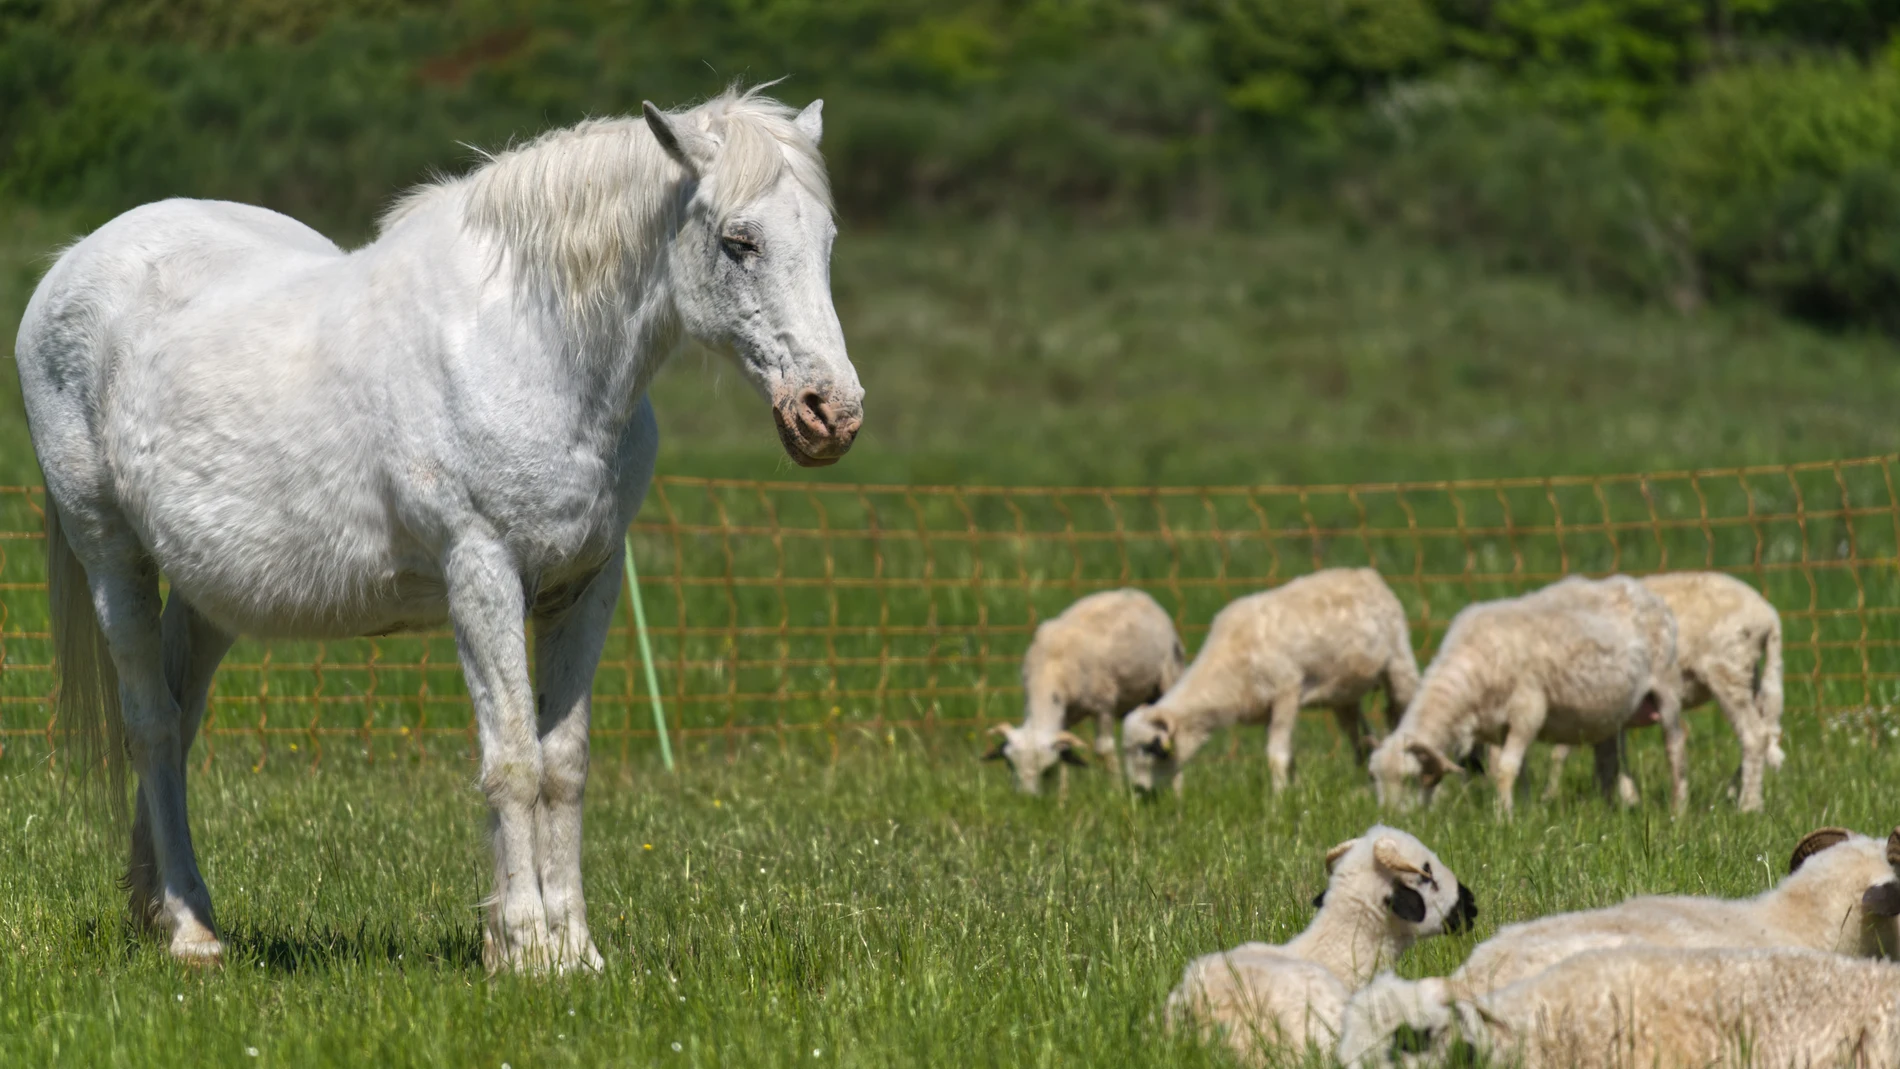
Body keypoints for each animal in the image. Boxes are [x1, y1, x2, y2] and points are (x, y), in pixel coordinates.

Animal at [13, 86, 862, 973]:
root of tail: (70, 266)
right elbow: (514, 760)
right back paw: (187, 932)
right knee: (150, 724)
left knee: (180, 721)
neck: (533, 348)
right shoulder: (481, 571)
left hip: (212, 591)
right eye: (739, 241)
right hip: (112, 555)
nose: (830, 414)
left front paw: (576, 952)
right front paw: (525, 949)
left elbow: (564, 764)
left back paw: (167, 904)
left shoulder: (586, 586)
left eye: (825, 240)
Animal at [982, 589, 1185, 795]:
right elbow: (1065, 753)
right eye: (1009, 765)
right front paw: (1062, 799)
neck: (1051, 669)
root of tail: (1135, 593)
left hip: (1170, 675)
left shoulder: (1104, 705)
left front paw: (1117, 794)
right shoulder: (1063, 717)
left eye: (1046, 770)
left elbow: (1104, 750)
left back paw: (1177, 793)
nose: (1026, 799)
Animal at [1120, 568, 1419, 796]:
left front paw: (1277, 803)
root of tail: (1366, 575)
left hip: (1399, 662)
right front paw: (1295, 793)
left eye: (1151, 748)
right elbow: (1289, 757)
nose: (1140, 792)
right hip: (1343, 693)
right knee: (1362, 740)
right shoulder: (1267, 710)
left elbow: (1277, 757)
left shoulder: (1288, 691)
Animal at [1366, 575, 1684, 818]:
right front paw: (1525, 812)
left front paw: (1503, 819)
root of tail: (1644, 592)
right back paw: (1608, 813)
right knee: (1608, 762)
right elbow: (1514, 771)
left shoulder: (1527, 713)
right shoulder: (1499, 726)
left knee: (1675, 748)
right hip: (1610, 715)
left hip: (1667, 687)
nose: (1391, 819)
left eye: (1409, 779)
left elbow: (1507, 770)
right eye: (1375, 779)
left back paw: (1678, 811)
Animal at [1546, 571, 1785, 812]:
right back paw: (1734, 790)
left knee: (1754, 734)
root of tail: (1768, 617)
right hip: (1748, 674)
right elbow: (1610, 751)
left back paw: (1748, 805)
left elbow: (1565, 751)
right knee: (1765, 732)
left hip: (1727, 668)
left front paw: (1551, 798)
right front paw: (1626, 798)